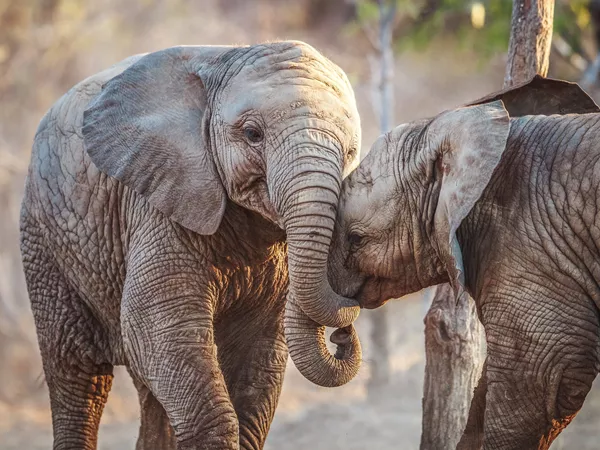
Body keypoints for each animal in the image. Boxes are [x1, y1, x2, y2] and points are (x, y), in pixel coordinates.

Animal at [19, 40, 360, 448]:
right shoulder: (159, 202)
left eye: (351, 152)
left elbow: (256, 350)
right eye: (252, 134)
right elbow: (156, 325)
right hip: (42, 236)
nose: (342, 336)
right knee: (77, 373)